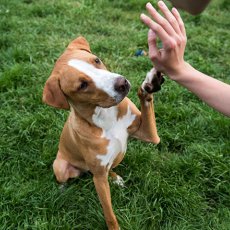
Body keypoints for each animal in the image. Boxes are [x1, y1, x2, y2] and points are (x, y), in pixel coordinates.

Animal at [41, 36, 164, 229]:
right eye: (82, 85)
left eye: (96, 60)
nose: (122, 83)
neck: (106, 115)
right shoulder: (98, 179)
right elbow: (109, 214)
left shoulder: (150, 135)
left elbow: (147, 104)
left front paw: (150, 83)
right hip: (60, 166)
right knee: (64, 177)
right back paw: (62, 189)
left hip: (116, 157)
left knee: (109, 168)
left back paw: (115, 178)